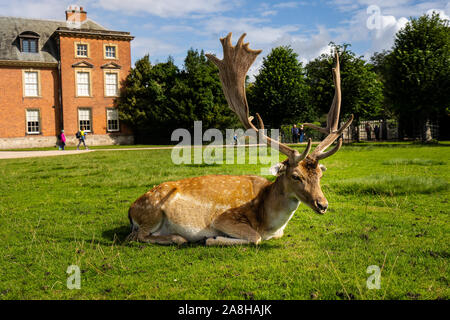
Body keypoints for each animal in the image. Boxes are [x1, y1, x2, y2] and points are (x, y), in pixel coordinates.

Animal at [126, 32, 352, 246]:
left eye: (320, 175)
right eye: (296, 176)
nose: (323, 205)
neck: (269, 222)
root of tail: (131, 209)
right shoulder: (224, 218)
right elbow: (254, 237)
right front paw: (211, 239)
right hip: (152, 212)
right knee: (137, 236)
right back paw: (178, 238)